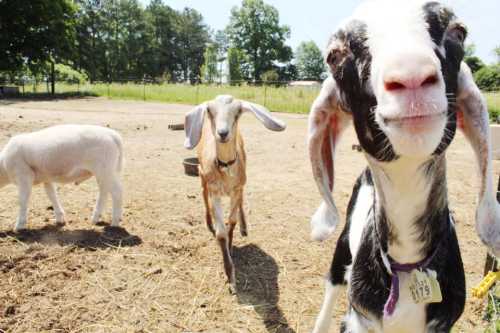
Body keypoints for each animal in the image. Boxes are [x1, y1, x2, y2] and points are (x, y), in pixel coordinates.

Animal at [184, 94, 286, 290]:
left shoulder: (237, 188)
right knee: (203, 195)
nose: (223, 133)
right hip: (202, 176)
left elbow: (232, 221)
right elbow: (221, 232)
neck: (225, 168)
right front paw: (230, 275)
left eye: (238, 111)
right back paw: (209, 221)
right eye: (210, 110)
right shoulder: (215, 191)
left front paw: (232, 246)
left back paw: (244, 226)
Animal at [308, 1, 500, 330]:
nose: (411, 75)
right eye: (334, 55)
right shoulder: (360, 319)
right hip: (343, 244)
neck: (409, 265)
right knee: (332, 285)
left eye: (458, 32)